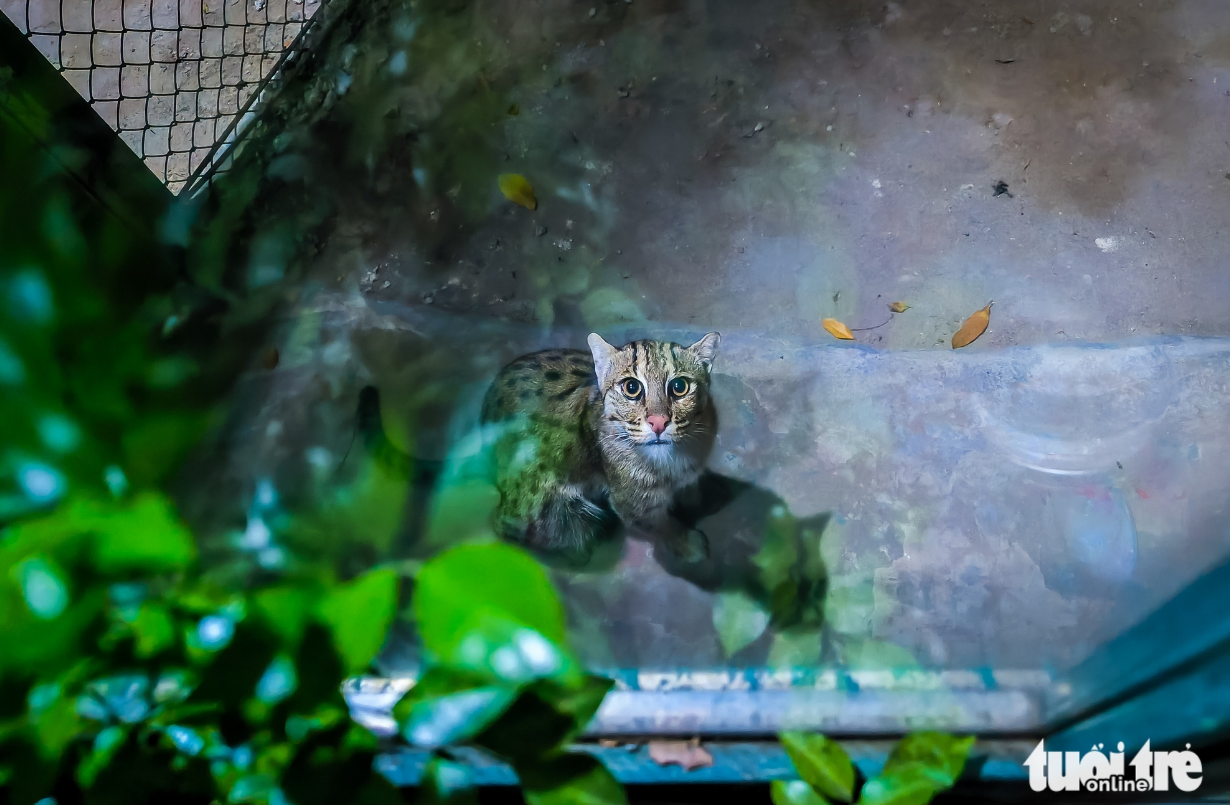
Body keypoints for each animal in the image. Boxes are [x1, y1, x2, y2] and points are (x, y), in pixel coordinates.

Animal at [477, 334, 718, 561]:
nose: (658, 422)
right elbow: (662, 525)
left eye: (679, 387)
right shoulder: (632, 502)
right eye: (632, 387)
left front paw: (695, 498)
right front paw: (688, 544)